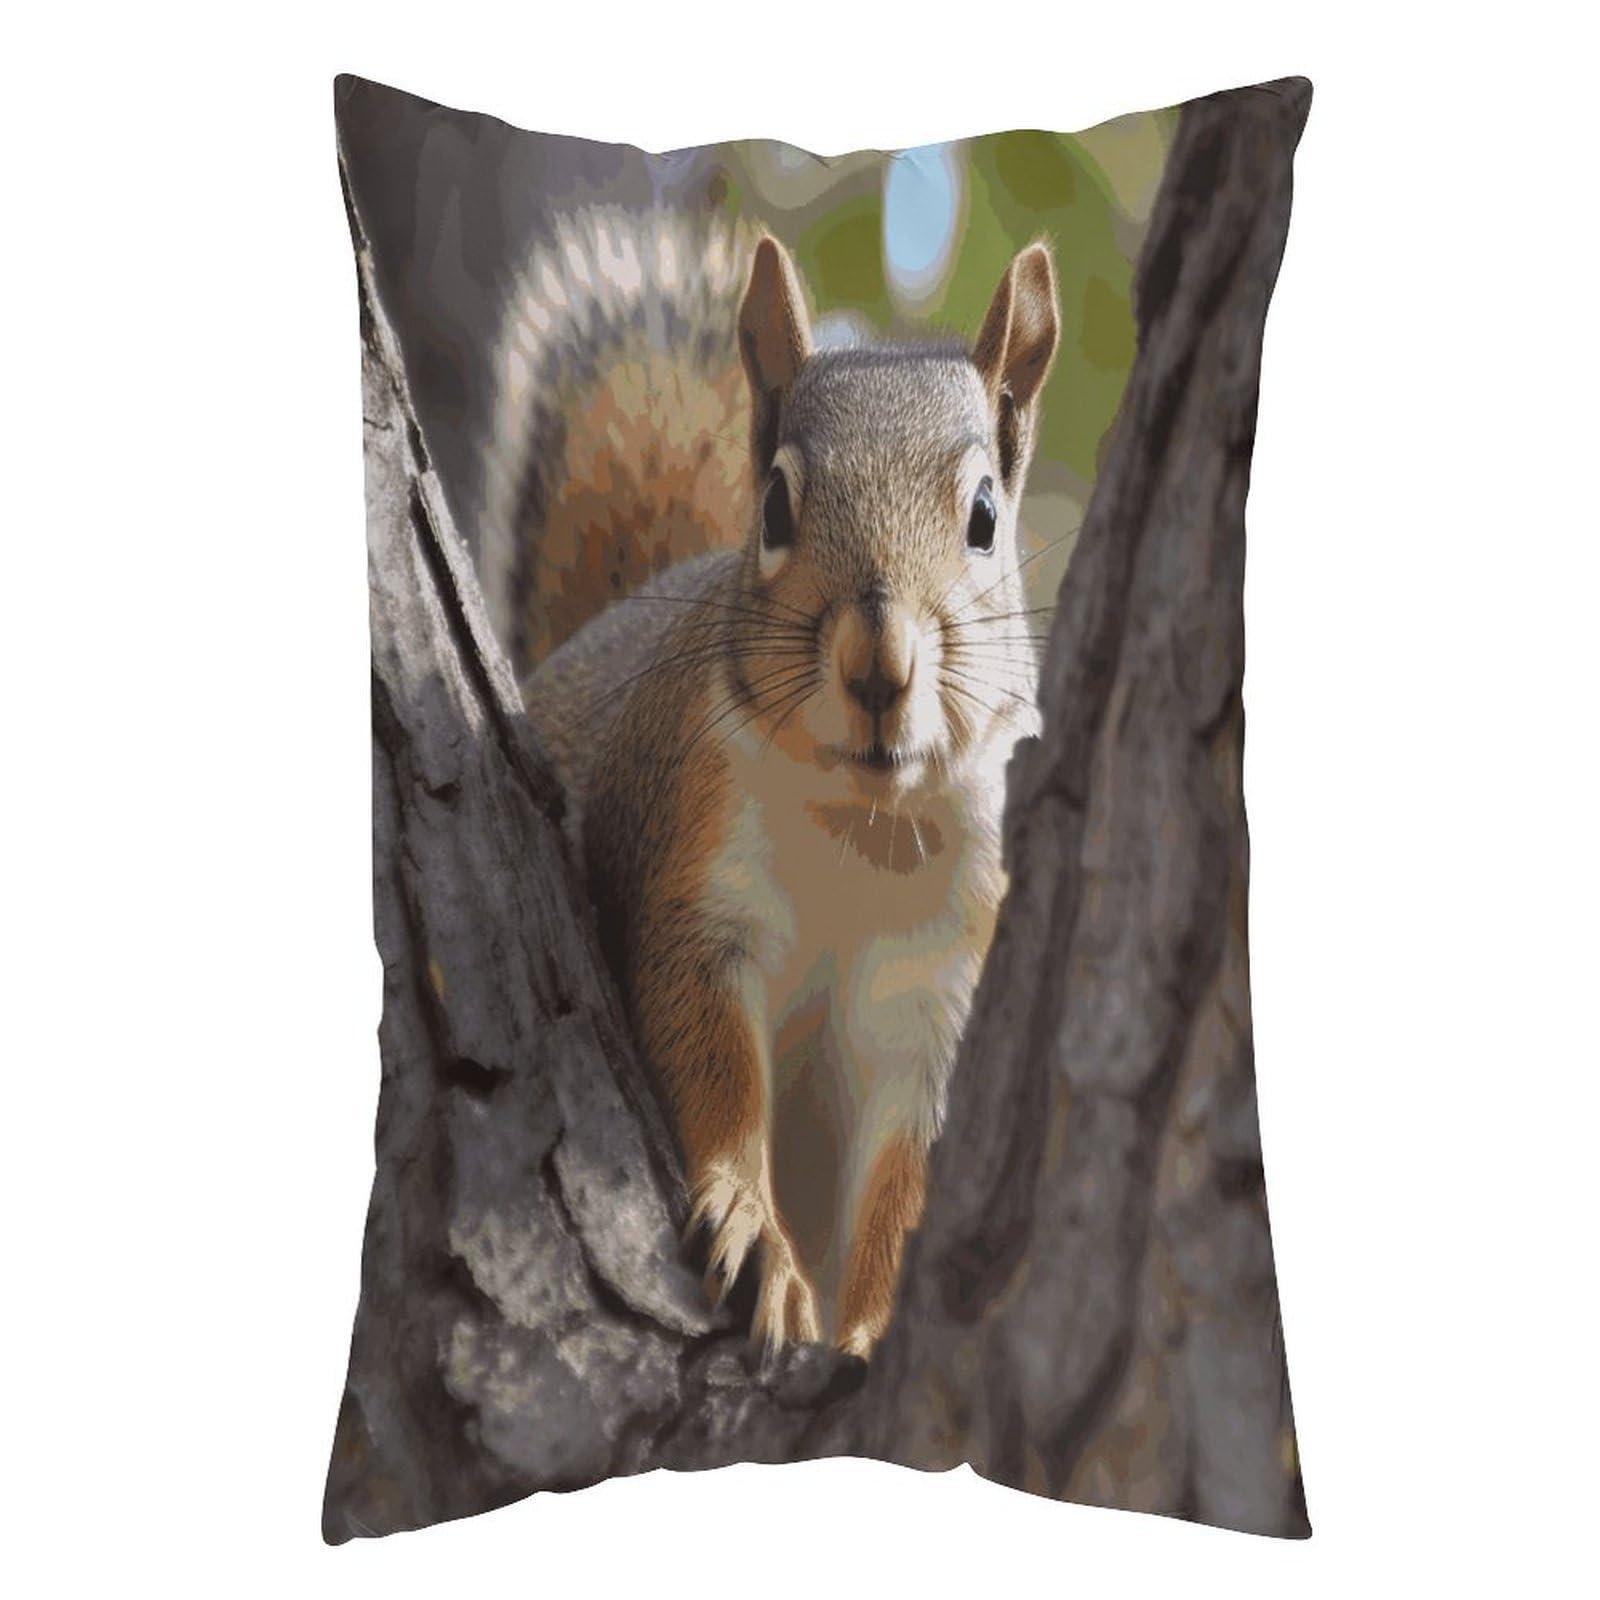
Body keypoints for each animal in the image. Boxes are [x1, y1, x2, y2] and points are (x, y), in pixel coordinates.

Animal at [486, 207, 1060, 1357]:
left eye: (985, 515)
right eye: (778, 504)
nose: (878, 667)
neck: (863, 824)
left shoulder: (941, 983)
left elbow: (907, 1174)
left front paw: (871, 1327)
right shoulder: (696, 874)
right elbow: (708, 1053)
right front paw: (755, 1229)